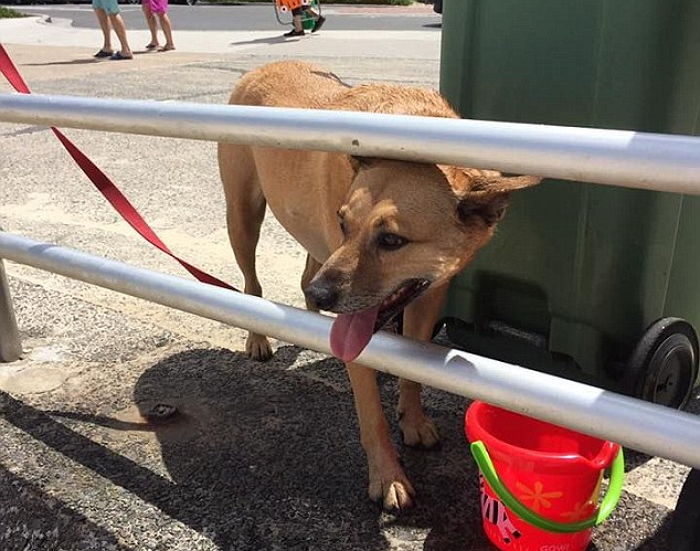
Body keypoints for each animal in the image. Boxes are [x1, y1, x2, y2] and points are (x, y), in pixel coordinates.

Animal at [219, 60, 540, 508]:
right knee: (252, 283)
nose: (324, 294)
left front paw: (414, 420)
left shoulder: (428, 296)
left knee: (304, 275)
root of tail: (265, 66)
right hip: (243, 215)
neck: (413, 129)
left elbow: (412, 371)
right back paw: (260, 337)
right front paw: (388, 476)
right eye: (344, 223)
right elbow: (372, 414)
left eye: (391, 240)